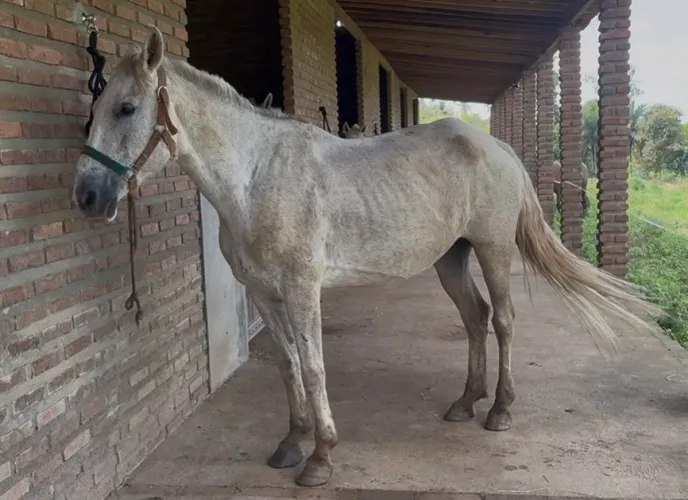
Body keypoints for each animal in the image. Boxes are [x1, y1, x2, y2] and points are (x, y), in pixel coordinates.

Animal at [72, 27, 663, 488]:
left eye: (127, 108)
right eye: (92, 109)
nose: (88, 197)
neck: (257, 176)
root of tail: (498, 147)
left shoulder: (301, 290)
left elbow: (313, 367)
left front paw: (320, 458)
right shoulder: (262, 293)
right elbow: (287, 365)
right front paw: (292, 443)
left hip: (493, 251)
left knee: (504, 322)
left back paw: (499, 410)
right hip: (451, 259)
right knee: (476, 318)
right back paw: (464, 403)